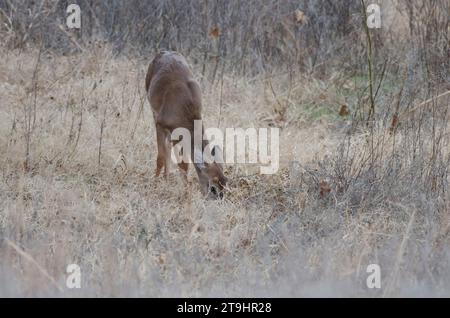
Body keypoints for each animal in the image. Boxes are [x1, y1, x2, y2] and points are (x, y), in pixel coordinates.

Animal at [145, 50, 227, 199]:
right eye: (213, 187)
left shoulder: (181, 134)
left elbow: (184, 164)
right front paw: (154, 186)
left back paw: (166, 179)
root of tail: (163, 52)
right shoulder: (160, 124)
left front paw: (185, 192)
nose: (218, 201)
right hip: (152, 107)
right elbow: (160, 158)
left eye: (225, 182)